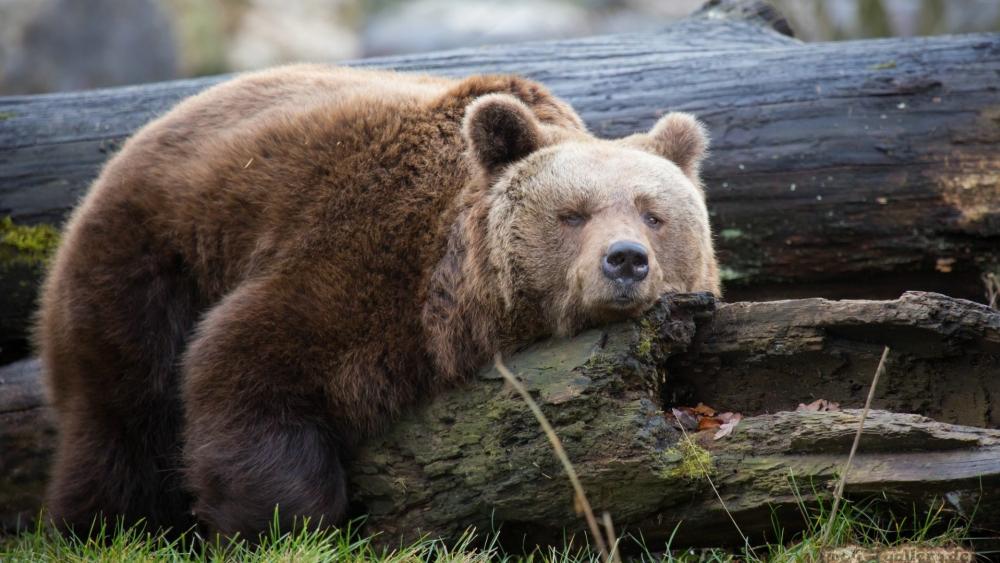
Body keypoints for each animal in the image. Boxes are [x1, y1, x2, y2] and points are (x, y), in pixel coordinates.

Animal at [33, 64, 720, 540]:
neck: (455, 296)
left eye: (654, 214)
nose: (625, 260)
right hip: (149, 263)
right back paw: (101, 527)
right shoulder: (358, 260)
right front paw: (284, 524)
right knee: (123, 416)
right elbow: (245, 366)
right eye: (573, 214)